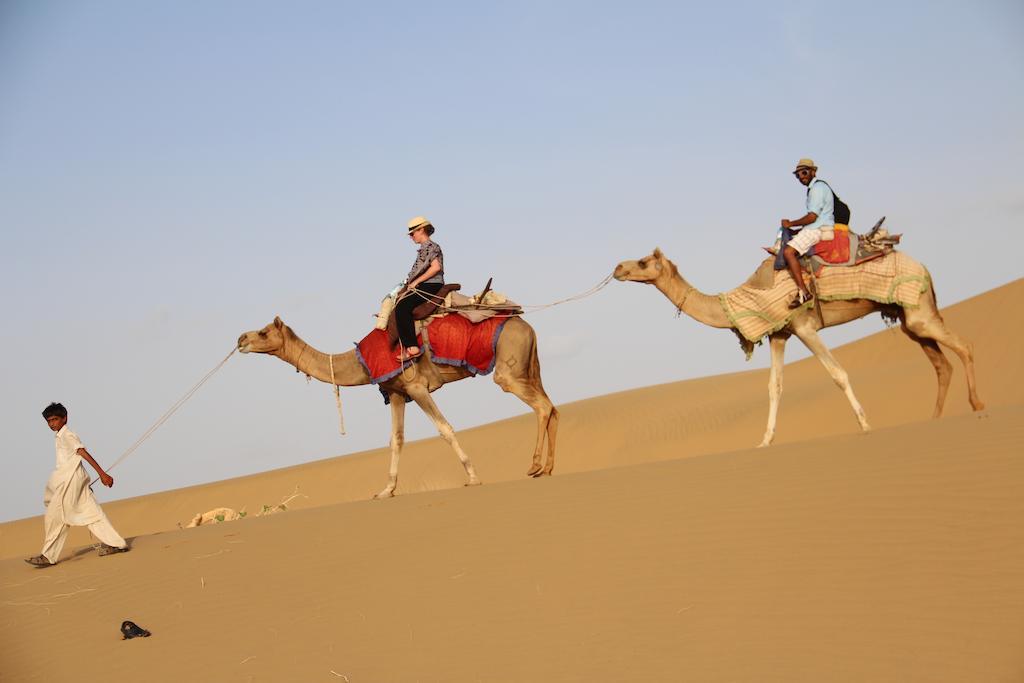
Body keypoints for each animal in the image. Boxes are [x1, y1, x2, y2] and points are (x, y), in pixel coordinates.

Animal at [237, 315, 561, 497]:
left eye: (264, 332)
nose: (241, 338)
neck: (361, 361)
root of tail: (527, 326)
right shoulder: (396, 392)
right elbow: (396, 439)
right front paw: (386, 490)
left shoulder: (417, 387)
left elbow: (445, 428)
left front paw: (472, 477)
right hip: (528, 366)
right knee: (552, 407)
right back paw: (547, 468)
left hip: (509, 367)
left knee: (542, 407)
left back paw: (534, 466)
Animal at [614, 248, 983, 446]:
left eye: (644, 262)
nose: (618, 267)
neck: (751, 296)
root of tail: (924, 267)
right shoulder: (780, 334)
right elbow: (774, 387)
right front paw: (764, 440)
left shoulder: (805, 326)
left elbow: (838, 373)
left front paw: (865, 425)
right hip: (907, 317)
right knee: (941, 363)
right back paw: (934, 420)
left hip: (918, 309)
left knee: (964, 345)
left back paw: (978, 405)